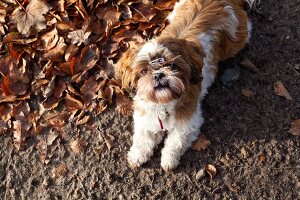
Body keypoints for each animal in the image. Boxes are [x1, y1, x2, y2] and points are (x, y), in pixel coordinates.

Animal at [114, 0, 255, 172]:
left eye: (172, 66)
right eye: (144, 71)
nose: (158, 75)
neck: (164, 103)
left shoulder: (188, 122)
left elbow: (176, 141)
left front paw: (168, 160)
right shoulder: (145, 115)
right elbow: (142, 137)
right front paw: (137, 155)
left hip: (238, 38)